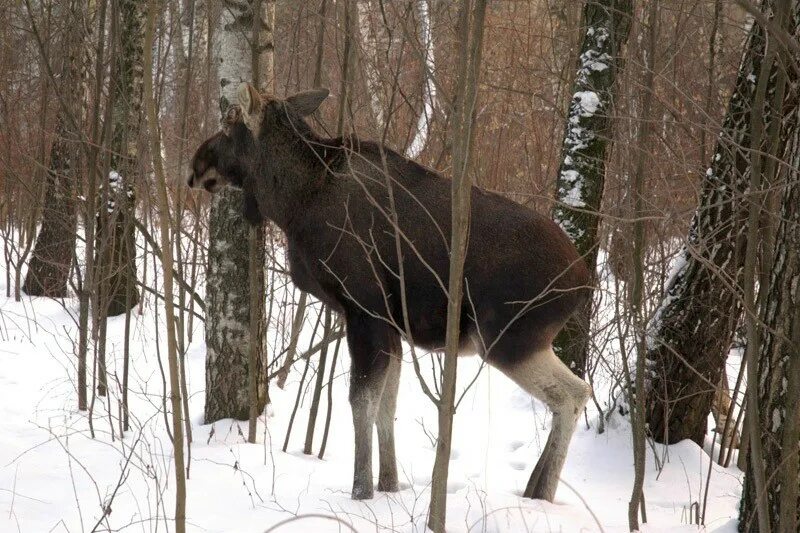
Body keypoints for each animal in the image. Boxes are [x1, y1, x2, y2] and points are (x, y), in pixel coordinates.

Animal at [188, 84, 588, 502]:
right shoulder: (391, 326)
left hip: (505, 338)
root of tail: (584, 281)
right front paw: (389, 484)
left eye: (230, 121)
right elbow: (386, 403)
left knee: (574, 394)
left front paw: (361, 489)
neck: (294, 204)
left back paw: (541, 491)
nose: (196, 166)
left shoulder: (365, 311)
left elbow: (361, 401)